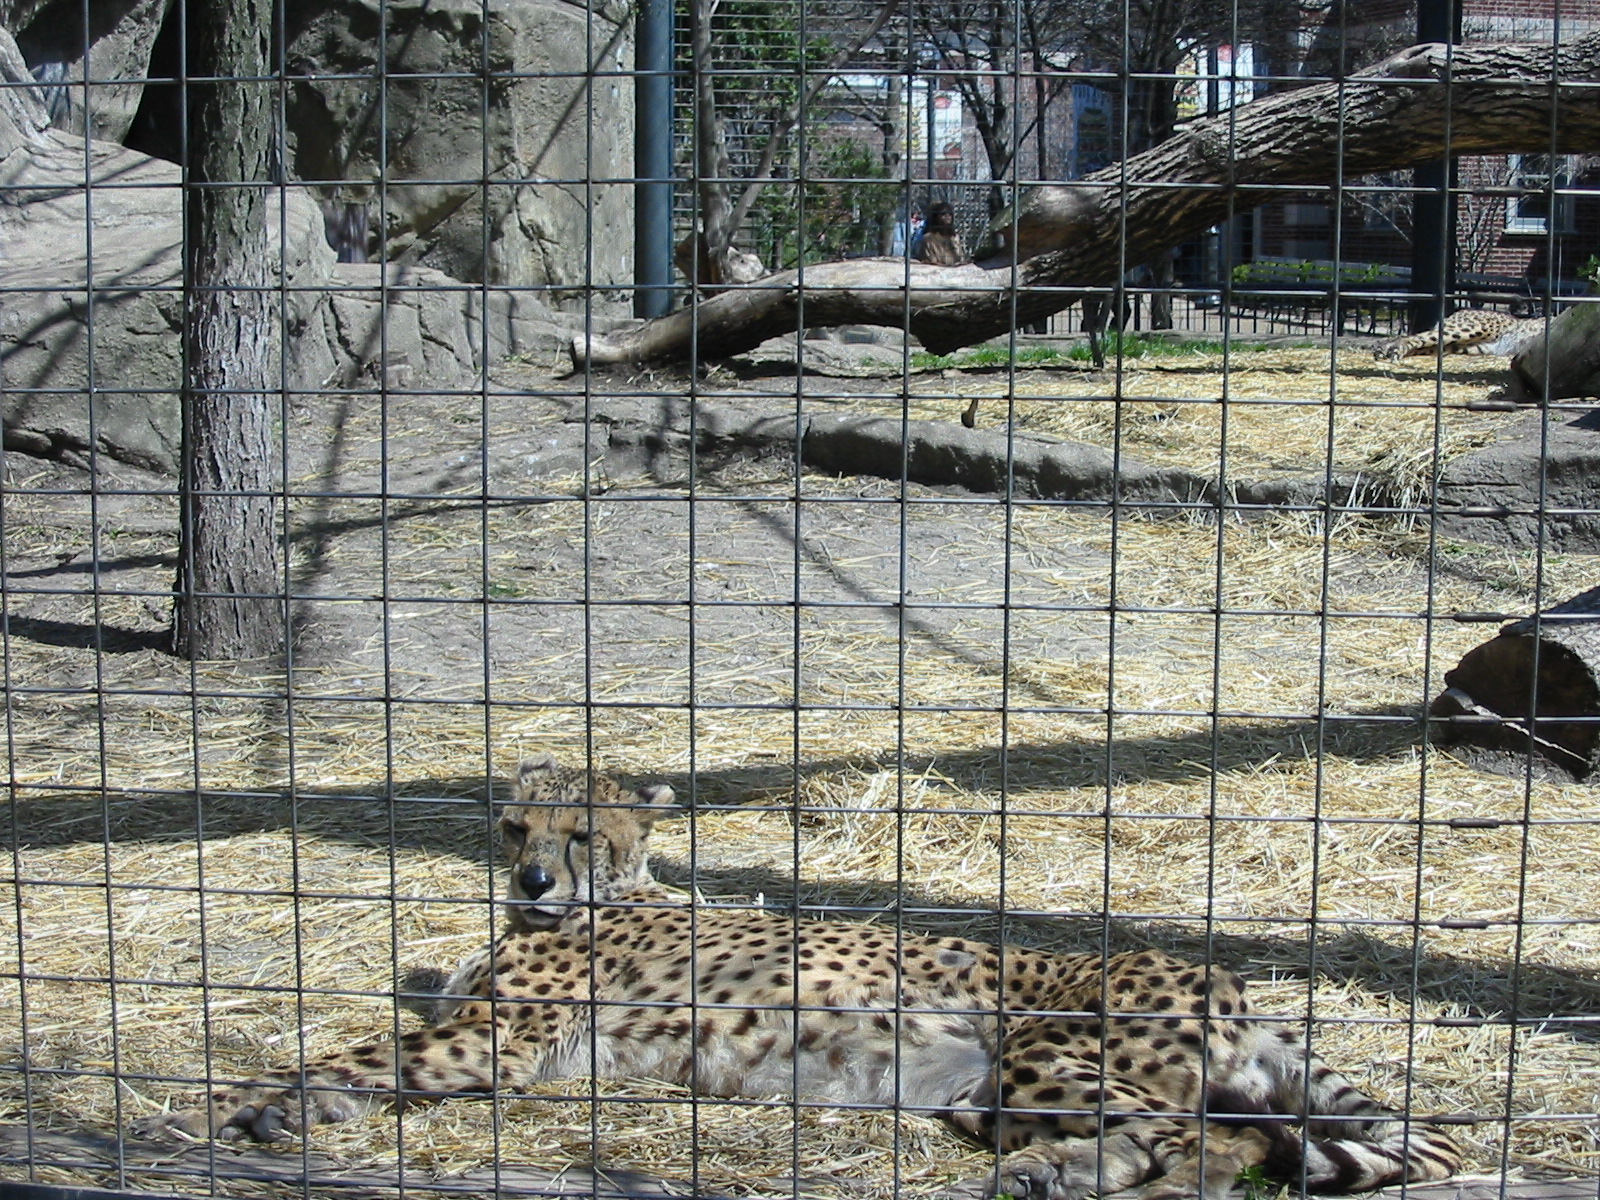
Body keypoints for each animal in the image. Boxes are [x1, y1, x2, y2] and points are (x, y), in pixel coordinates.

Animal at [135, 755, 1462, 1200]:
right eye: (518, 826)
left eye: (583, 833)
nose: (535, 883)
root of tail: (1219, 974)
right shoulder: (489, 1036)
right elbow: (358, 1054)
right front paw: (276, 1109)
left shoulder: (494, 1041)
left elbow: (346, 1050)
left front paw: (219, 1105)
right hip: (1011, 1086)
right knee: (1222, 1140)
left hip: (1043, 1053)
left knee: (1189, 1137)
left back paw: (1067, 1175)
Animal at [1373, 308, 1547, 361]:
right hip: (1476, 328)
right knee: (1413, 337)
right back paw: (1392, 349)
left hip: (1468, 346)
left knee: (1422, 345)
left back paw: (1386, 349)